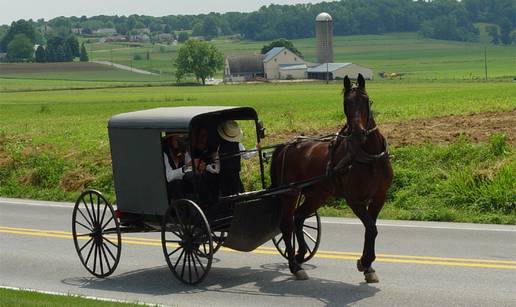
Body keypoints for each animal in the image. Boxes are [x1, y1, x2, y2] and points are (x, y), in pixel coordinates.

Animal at [270, 74, 392, 284]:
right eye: (346, 103)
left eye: (366, 100)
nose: (358, 133)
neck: (369, 157)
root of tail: (286, 145)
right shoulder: (354, 200)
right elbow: (371, 227)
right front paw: (365, 262)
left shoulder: (379, 197)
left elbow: (372, 228)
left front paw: (368, 266)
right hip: (290, 192)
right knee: (287, 224)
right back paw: (295, 266)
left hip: (317, 194)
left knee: (298, 217)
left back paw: (300, 255)